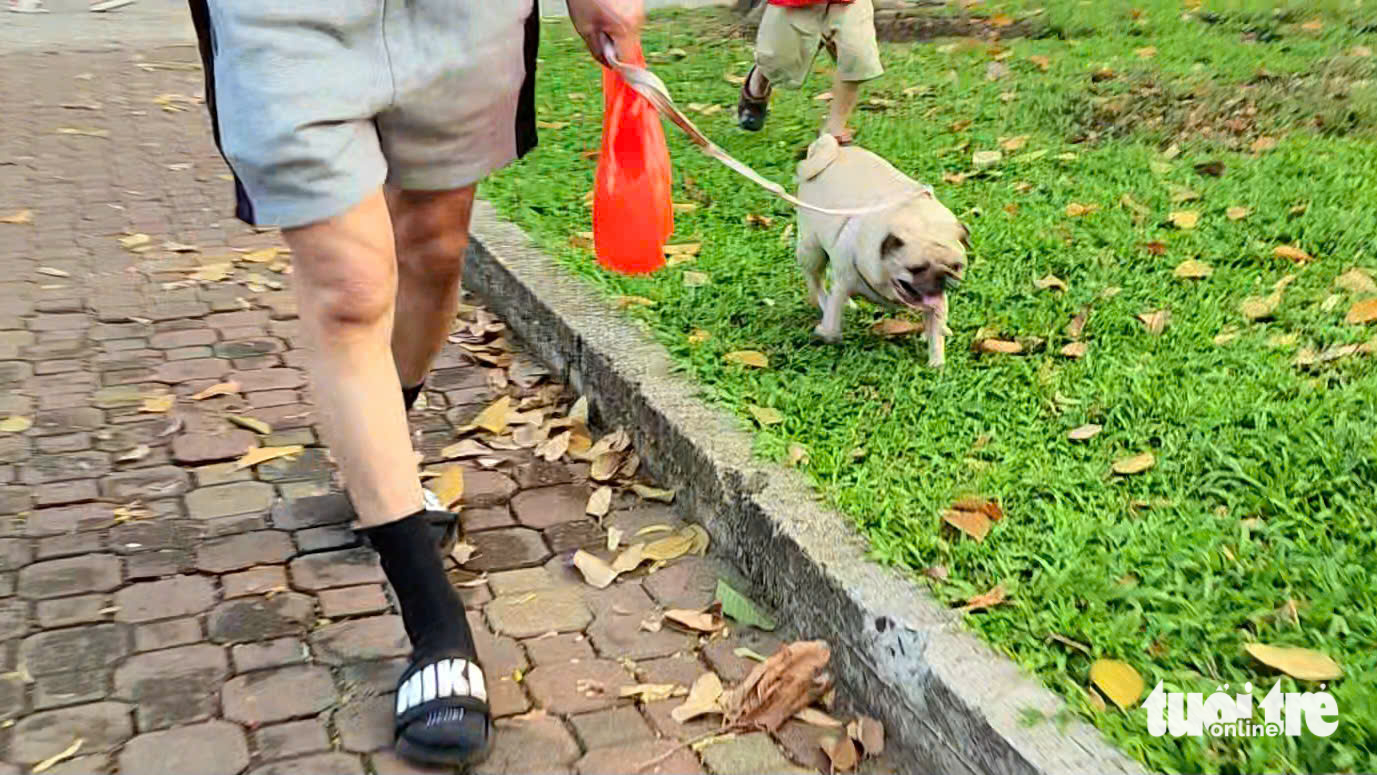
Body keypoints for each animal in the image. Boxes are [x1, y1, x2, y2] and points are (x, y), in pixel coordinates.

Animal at [793, 134, 974, 368]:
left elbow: (935, 332)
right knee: (816, 281)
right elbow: (833, 323)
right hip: (811, 249)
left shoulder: (936, 301)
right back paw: (823, 302)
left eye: (957, 266)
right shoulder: (844, 283)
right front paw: (826, 333)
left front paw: (937, 364)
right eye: (916, 269)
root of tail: (829, 150)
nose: (943, 277)